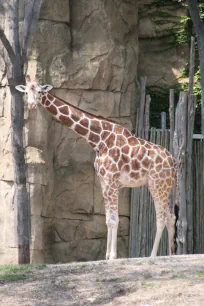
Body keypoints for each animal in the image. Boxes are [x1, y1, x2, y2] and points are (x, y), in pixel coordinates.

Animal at [15, 75, 177, 260]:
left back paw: (153, 256)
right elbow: (107, 219)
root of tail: (173, 163)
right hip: (165, 187)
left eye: (40, 91)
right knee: (171, 217)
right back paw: (172, 255)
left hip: (157, 185)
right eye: (26, 92)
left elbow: (114, 219)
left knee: (162, 218)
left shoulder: (111, 181)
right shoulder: (104, 182)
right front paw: (106, 256)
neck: (99, 139)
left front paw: (113, 256)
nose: (31, 105)